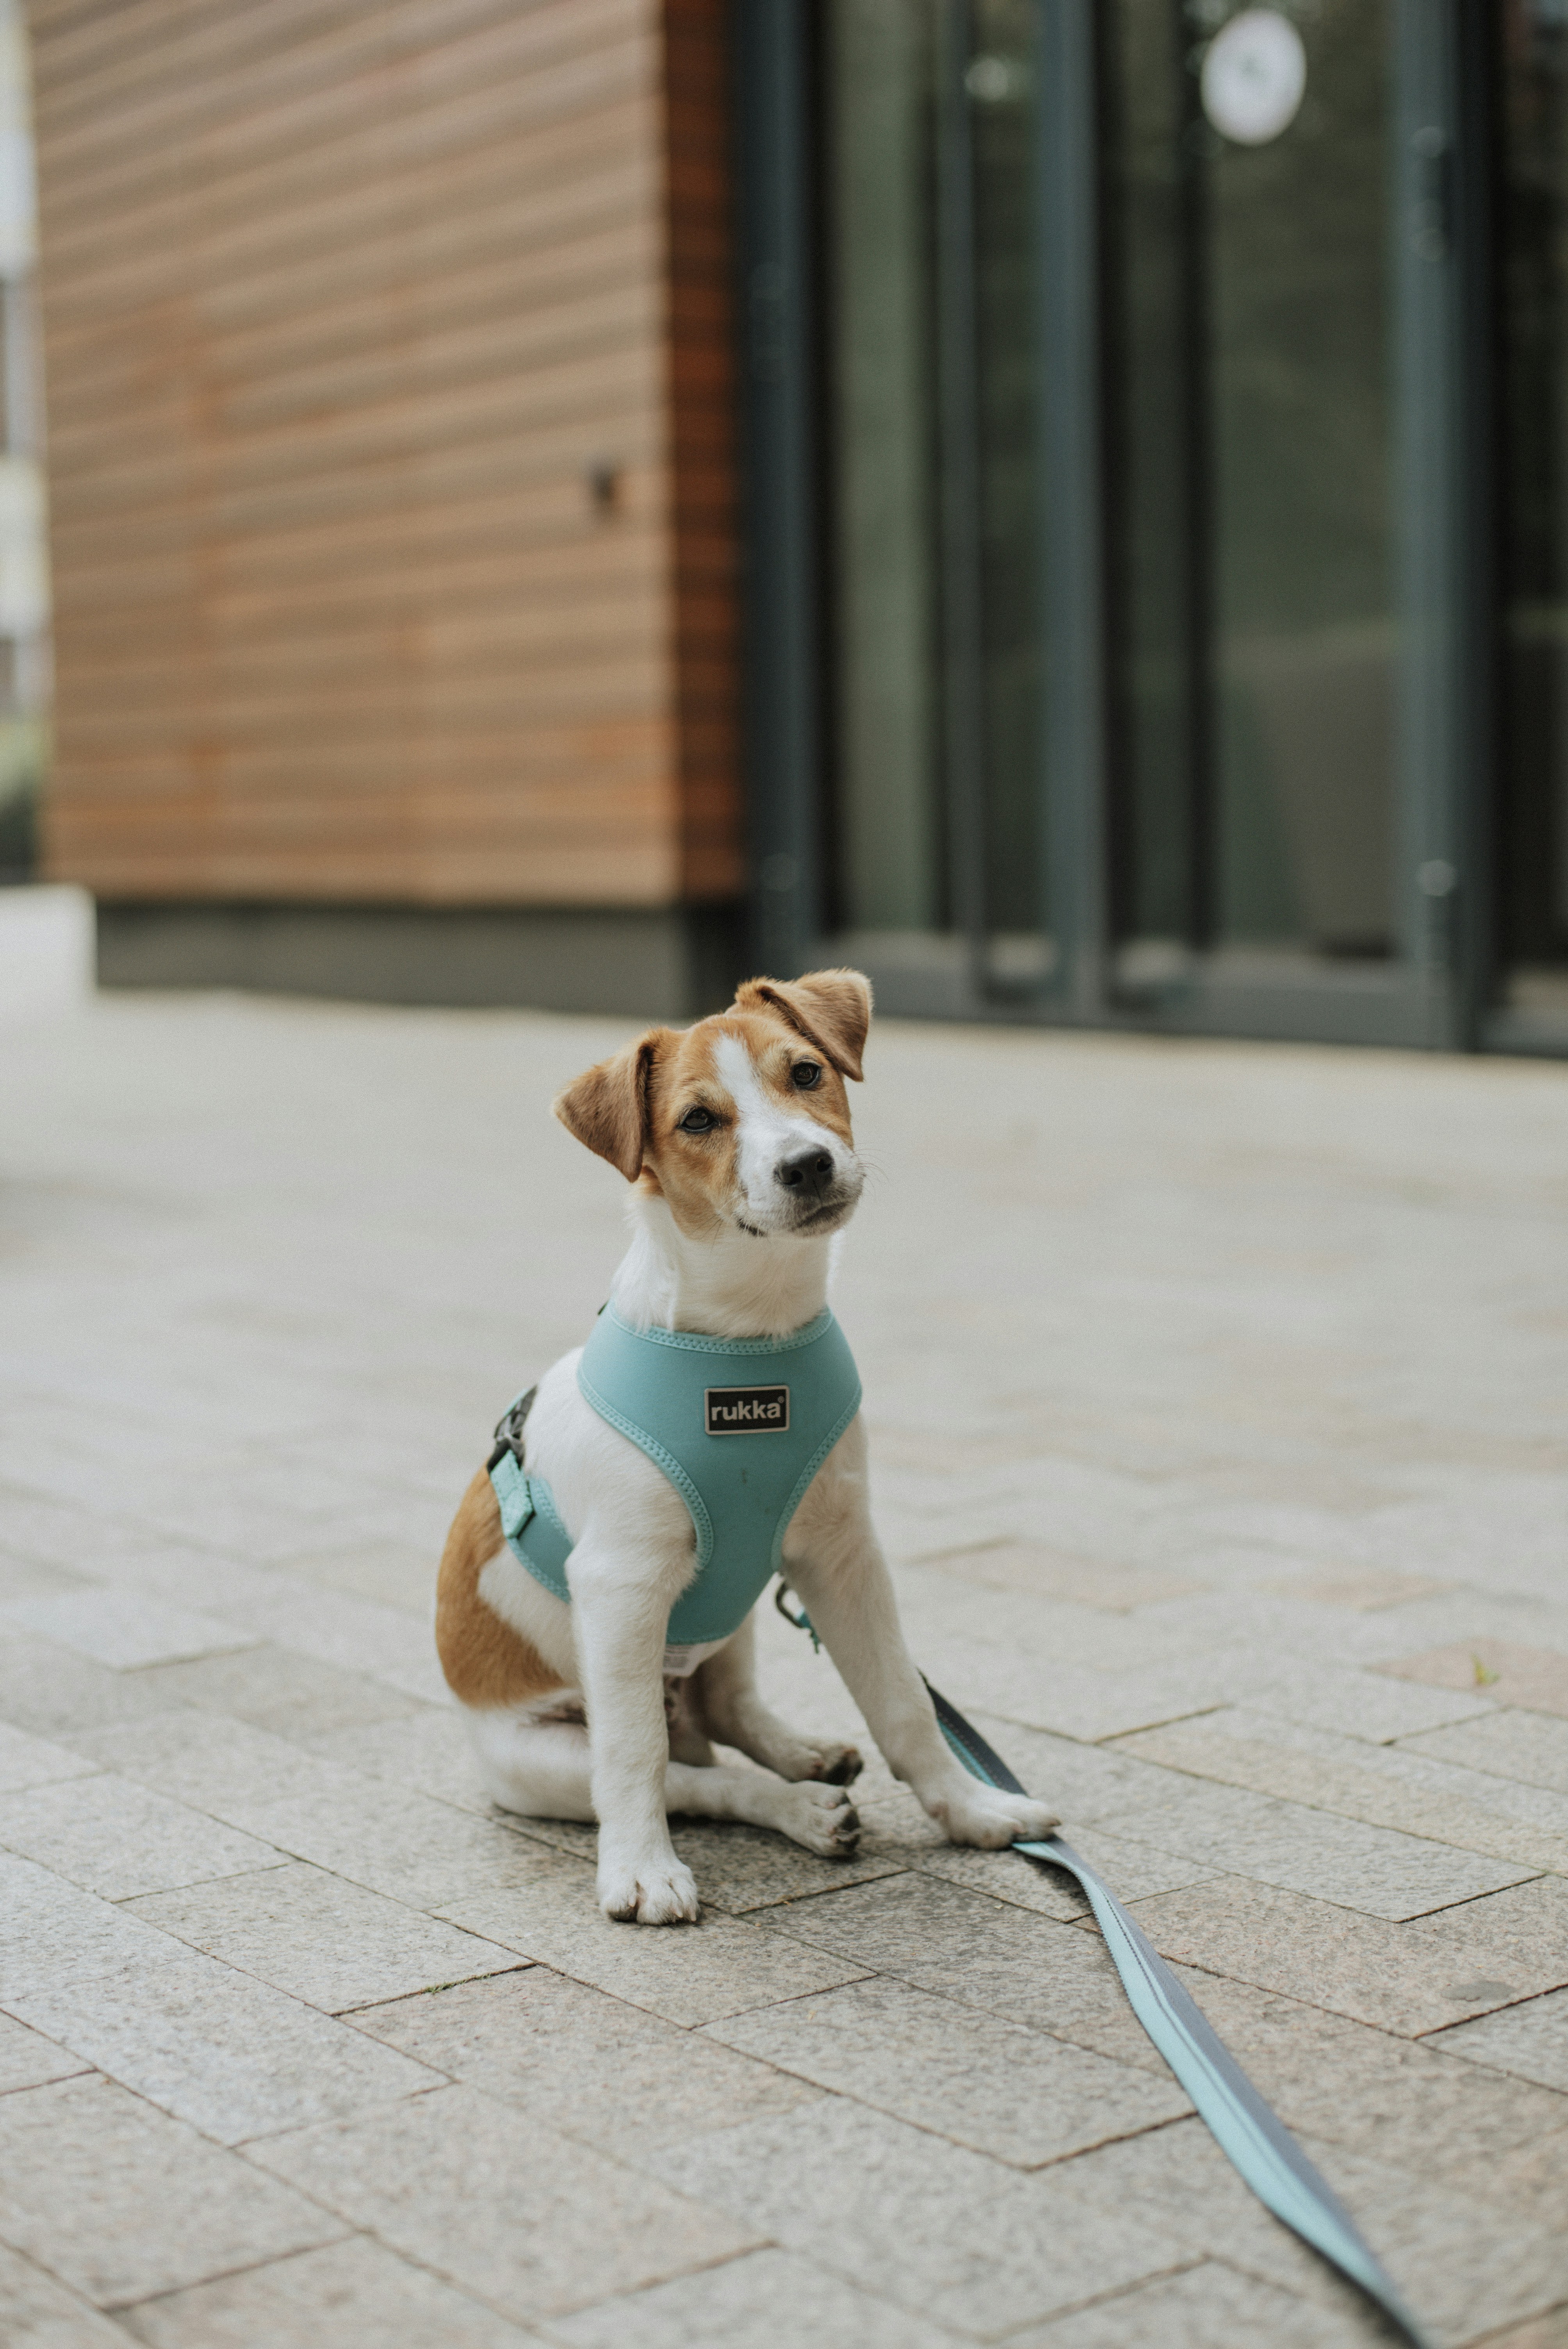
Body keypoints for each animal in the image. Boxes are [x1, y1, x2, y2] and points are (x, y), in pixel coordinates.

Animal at [434, 963, 1061, 1917]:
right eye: (697, 1120)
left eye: (806, 1072)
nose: (806, 1164)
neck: (749, 1340)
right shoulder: (618, 1585)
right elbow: (636, 1755)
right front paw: (639, 1870)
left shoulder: (843, 1556)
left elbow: (902, 1700)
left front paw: (972, 1808)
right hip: (541, 1756)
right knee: (689, 1772)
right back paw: (795, 1810)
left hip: (728, 1627)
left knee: (727, 1714)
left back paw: (802, 1757)